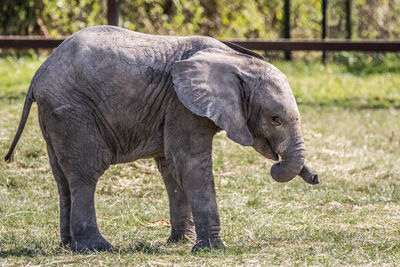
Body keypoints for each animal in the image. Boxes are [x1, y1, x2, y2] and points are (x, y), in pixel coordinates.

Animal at [5, 26, 318, 254]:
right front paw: (213, 249)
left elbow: (171, 168)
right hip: (73, 110)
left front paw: (181, 242)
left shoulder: (174, 107)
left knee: (62, 177)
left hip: (55, 116)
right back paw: (97, 248)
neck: (235, 60)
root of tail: (39, 74)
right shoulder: (182, 105)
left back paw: (69, 245)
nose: (315, 178)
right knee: (86, 172)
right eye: (275, 119)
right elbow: (189, 165)